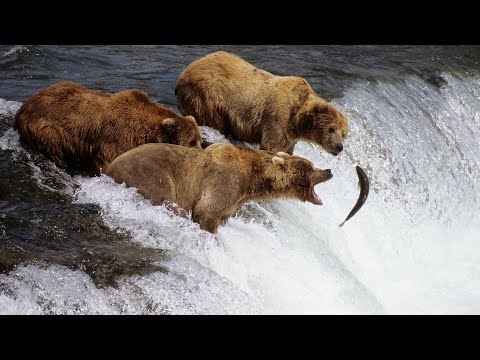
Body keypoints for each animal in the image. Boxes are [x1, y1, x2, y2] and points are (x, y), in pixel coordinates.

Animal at [14, 82, 202, 177]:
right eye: (191, 141)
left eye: (199, 140)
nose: (201, 153)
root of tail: (22, 108)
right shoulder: (116, 137)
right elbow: (107, 163)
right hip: (47, 128)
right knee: (54, 149)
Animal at [107, 143, 334, 233]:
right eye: (311, 167)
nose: (329, 170)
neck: (252, 179)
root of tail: (109, 168)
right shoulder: (226, 181)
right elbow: (206, 211)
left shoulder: (235, 200)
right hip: (151, 175)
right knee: (168, 200)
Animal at [176, 50, 348, 156]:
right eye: (332, 128)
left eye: (343, 134)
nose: (339, 147)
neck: (298, 119)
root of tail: (185, 71)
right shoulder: (278, 117)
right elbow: (272, 145)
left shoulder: (291, 135)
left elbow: (287, 149)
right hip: (207, 94)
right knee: (212, 119)